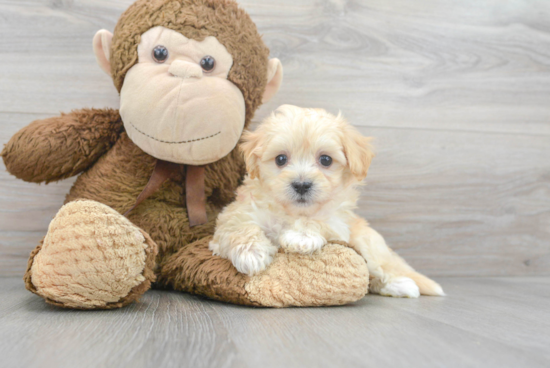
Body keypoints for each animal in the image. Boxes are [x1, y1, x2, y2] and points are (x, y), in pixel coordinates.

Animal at [209, 105, 446, 298]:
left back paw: (400, 285)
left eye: (325, 160)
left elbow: (319, 221)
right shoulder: (239, 211)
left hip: (368, 242)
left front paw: (301, 236)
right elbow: (238, 227)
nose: (302, 185)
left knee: (378, 269)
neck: (292, 212)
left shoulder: (338, 223)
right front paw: (251, 253)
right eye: (280, 159)